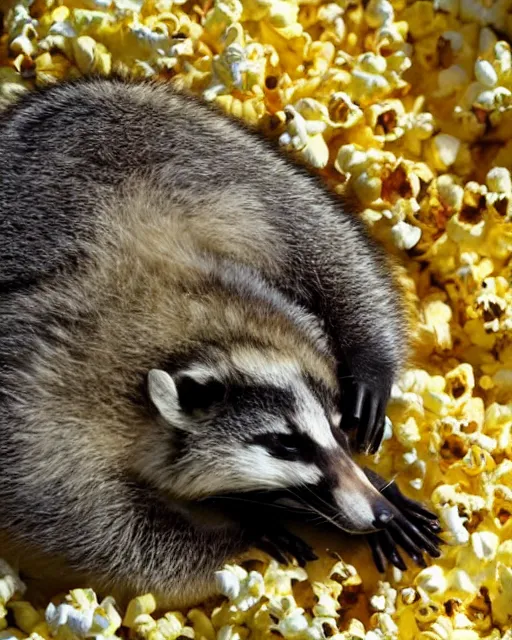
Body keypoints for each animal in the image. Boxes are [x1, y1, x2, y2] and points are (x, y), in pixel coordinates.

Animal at [0, 77, 440, 608]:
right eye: (285, 445)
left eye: (337, 432)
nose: (377, 513)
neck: (197, 339)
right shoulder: (40, 408)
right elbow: (91, 532)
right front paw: (246, 532)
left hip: (197, 149)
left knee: (306, 222)